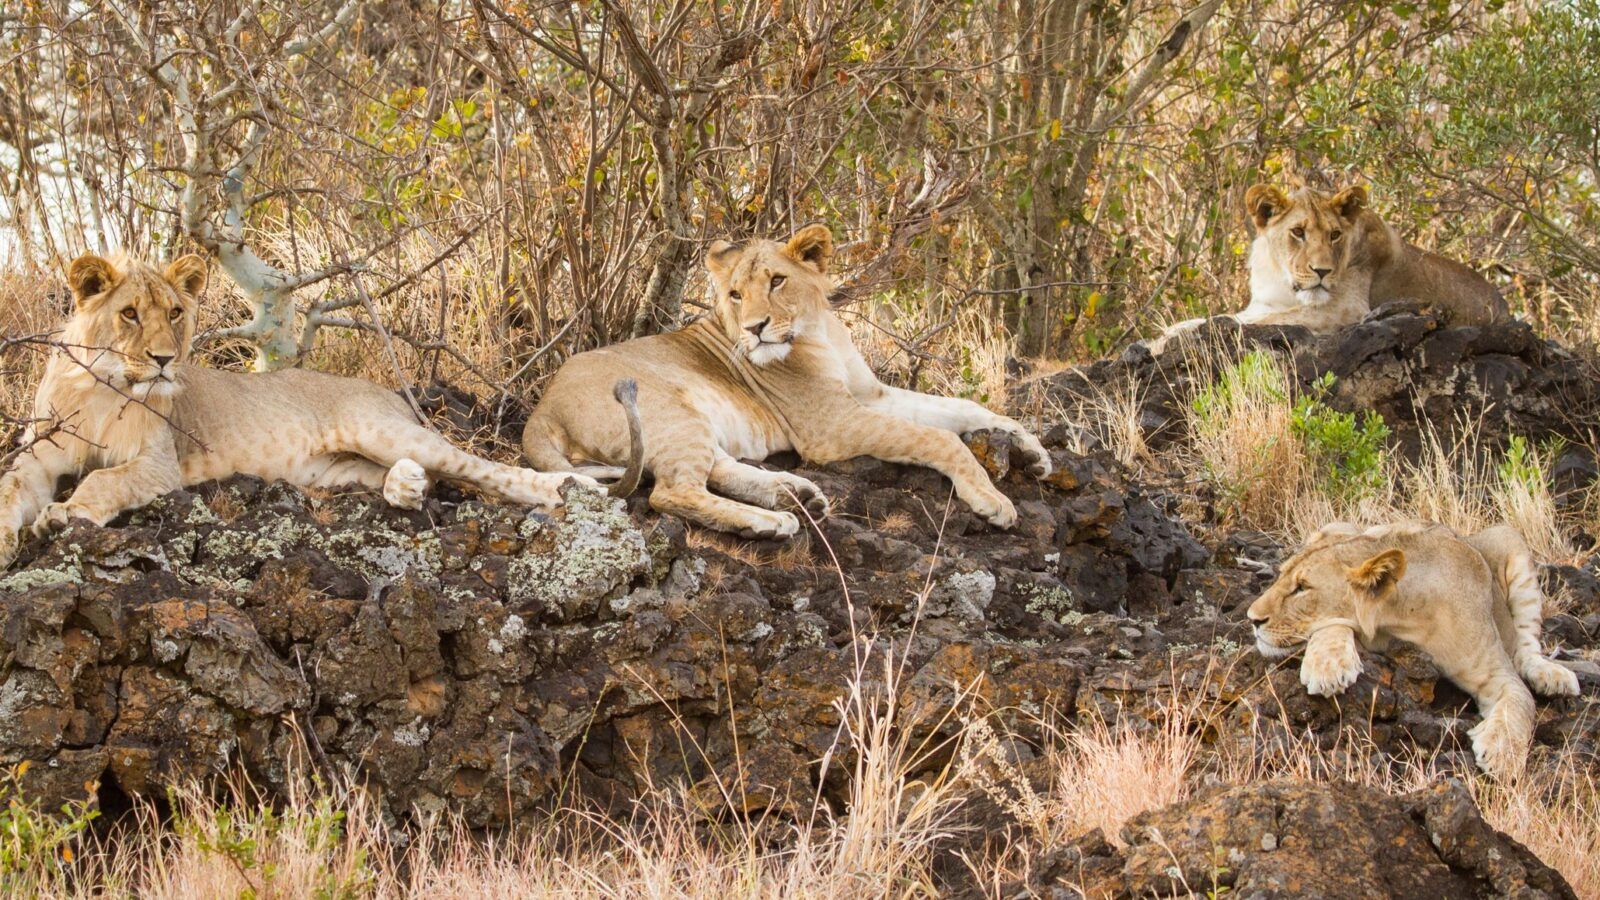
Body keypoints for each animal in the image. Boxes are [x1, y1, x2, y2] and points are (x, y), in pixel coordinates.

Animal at [0, 252, 627, 570]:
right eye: (129, 313)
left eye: (176, 313)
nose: (162, 359)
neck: (104, 386)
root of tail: (386, 391)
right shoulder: (39, 456)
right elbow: (11, 487)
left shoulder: (159, 466)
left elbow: (103, 481)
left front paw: (61, 516)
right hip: (333, 468)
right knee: (422, 478)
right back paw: (405, 487)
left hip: (380, 429)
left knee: (492, 471)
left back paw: (571, 491)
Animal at [522, 224, 1053, 539]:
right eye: (735, 295)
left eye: (776, 281)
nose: (755, 328)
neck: (818, 329)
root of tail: (541, 410)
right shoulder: (832, 426)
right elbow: (940, 438)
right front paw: (991, 499)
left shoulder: (870, 396)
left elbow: (966, 409)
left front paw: (1033, 452)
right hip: (668, 410)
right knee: (671, 493)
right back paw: (772, 520)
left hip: (687, 423)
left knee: (714, 470)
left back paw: (793, 494)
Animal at [1152, 183, 1506, 350]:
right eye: (1298, 232)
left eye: (1335, 235)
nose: (1322, 271)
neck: (1283, 277)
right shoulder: (1264, 304)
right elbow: (1222, 318)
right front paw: (1167, 333)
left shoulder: (1346, 310)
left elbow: (1263, 323)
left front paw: (1159, 344)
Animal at [1247, 520, 1579, 776]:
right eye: (1281, 576)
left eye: (1302, 588)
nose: (1252, 618)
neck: (1405, 617)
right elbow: (1332, 625)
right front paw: (1328, 667)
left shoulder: (1497, 673)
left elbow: (1520, 702)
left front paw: (1501, 754)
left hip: (1510, 538)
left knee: (1526, 646)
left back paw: (1552, 677)